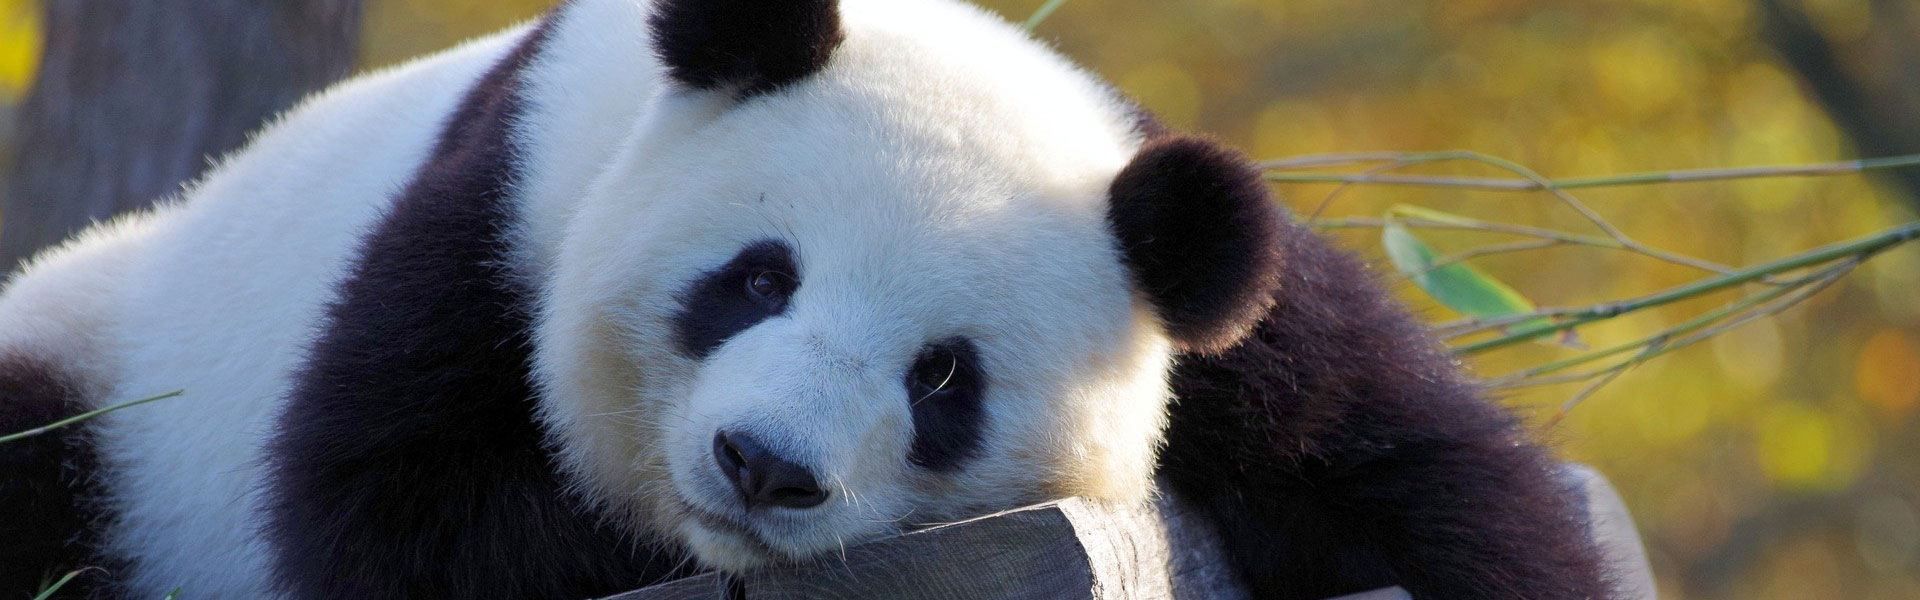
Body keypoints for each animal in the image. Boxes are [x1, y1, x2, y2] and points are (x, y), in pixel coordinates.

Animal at [0, 0, 1619, 598]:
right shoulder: (498, 217)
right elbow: (399, 509)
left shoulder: (1215, 315)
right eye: (756, 279)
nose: (761, 467)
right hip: (105, 377)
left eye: (944, 377)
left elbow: (1426, 477)